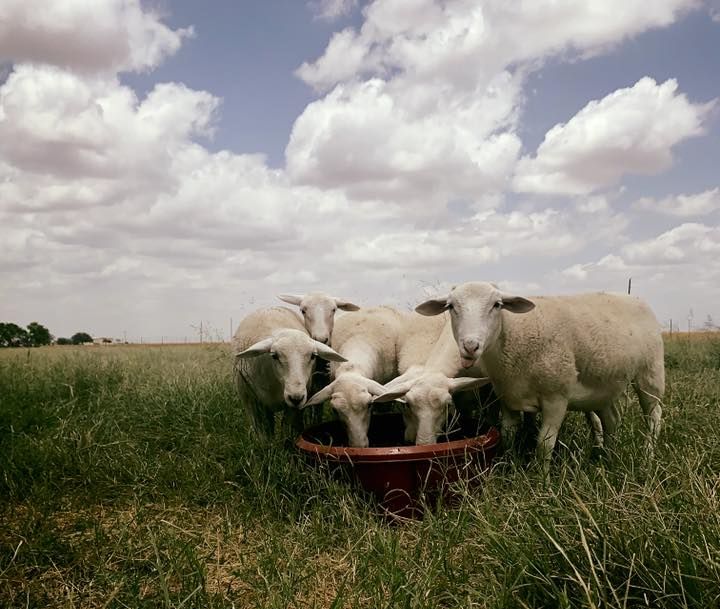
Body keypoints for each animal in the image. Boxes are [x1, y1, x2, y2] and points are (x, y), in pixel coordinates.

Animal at [232, 307, 346, 438]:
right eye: (274, 355)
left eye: (313, 356)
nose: (296, 398)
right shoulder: (252, 403)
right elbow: (263, 435)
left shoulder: (293, 409)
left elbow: (287, 431)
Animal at [415, 282, 665, 473]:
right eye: (451, 306)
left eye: (497, 305)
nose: (470, 346)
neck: (513, 335)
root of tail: (634, 297)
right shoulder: (508, 398)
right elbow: (507, 435)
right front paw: (508, 465)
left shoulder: (557, 398)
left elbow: (544, 444)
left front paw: (542, 480)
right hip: (605, 384)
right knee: (612, 419)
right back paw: (608, 456)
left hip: (651, 372)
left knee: (654, 415)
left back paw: (647, 456)